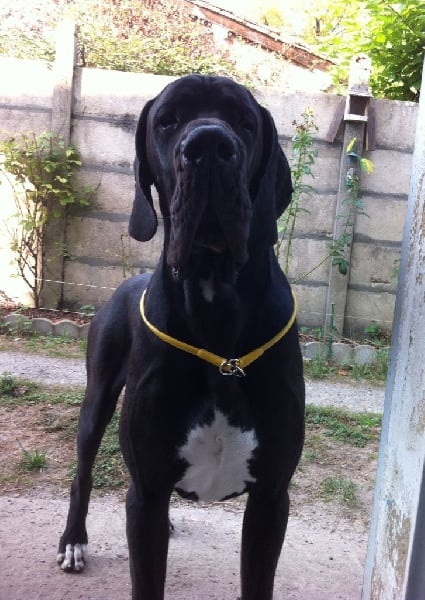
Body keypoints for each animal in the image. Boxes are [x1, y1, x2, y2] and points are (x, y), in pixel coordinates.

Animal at [57, 74, 305, 600]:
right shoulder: (147, 493)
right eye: (167, 121)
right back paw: (73, 541)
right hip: (97, 401)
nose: (208, 145)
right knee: (81, 472)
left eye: (244, 121)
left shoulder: (271, 499)